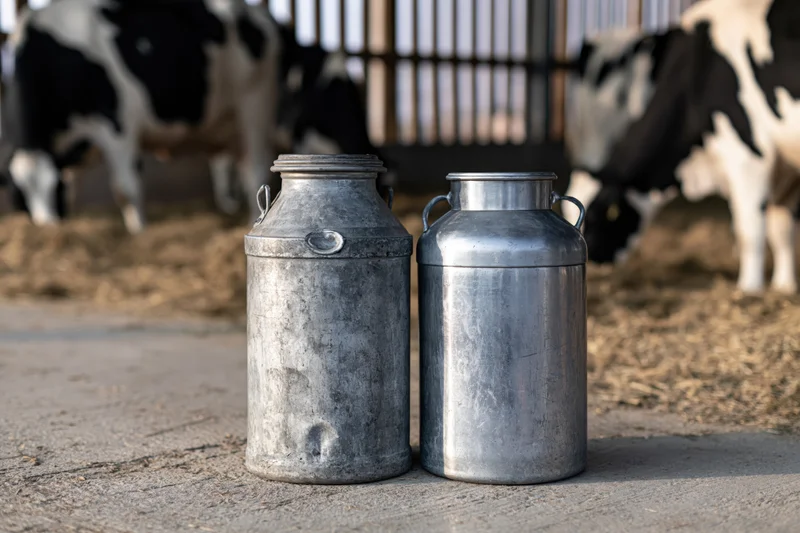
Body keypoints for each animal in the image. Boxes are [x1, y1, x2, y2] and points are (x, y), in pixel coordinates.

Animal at [0, 0, 395, 234]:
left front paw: (139, 232)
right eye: (20, 196)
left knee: (254, 170)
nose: (50, 228)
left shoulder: (117, 122)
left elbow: (126, 188)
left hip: (254, 109)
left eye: (53, 190)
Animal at [562, 0, 800, 295]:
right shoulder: (785, 166)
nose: (591, 262)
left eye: (594, 217)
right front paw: (784, 286)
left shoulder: (749, 153)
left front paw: (749, 289)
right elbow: (782, 229)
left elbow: (750, 229)